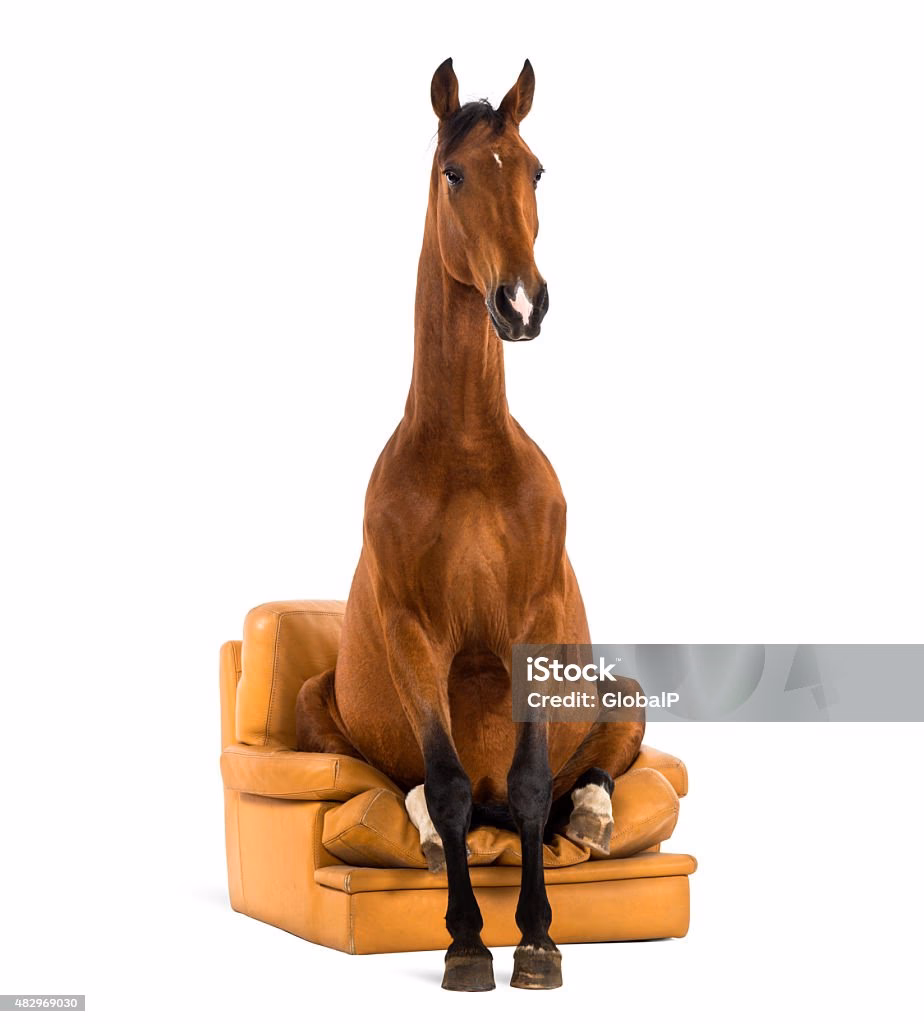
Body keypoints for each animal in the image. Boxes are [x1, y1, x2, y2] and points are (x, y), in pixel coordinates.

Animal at [296, 58, 645, 991]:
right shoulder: (415, 635)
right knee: (412, 785)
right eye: (454, 174)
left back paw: (591, 817)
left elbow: (529, 786)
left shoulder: (532, 627)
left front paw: (537, 940)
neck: (467, 452)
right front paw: (465, 943)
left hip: (619, 691)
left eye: (536, 171)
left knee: (578, 778)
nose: (521, 303)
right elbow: (449, 782)